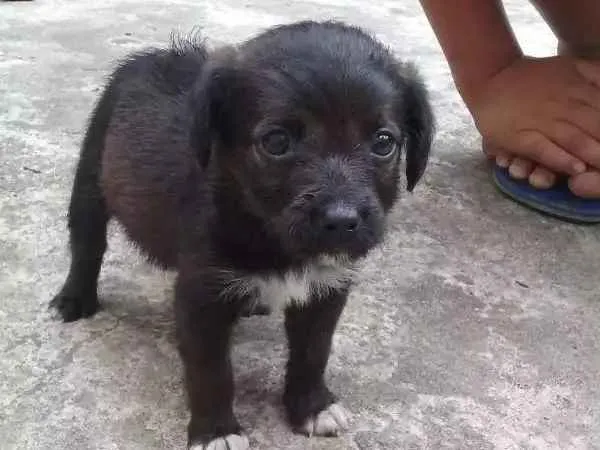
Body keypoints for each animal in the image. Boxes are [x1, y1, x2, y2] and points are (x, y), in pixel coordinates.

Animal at [51, 20, 434, 446]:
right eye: (276, 141)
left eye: (383, 143)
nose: (341, 220)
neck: (275, 241)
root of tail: (152, 56)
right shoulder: (201, 297)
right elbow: (211, 371)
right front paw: (216, 431)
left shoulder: (326, 290)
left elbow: (313, 352)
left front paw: (311, 406)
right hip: (90, 177)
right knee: (87, 244)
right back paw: (74, 298)